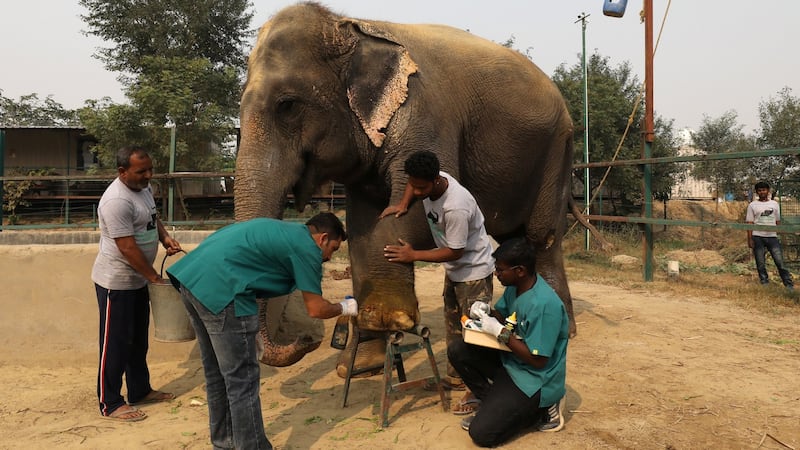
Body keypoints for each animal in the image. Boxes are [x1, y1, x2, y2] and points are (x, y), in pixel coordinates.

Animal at [235, 3, 576, 366]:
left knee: (542, 237)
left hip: (557, 151)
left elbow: (410, 215)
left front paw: (388, 318)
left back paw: (562, 331)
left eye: (287, 105)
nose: (307, 340)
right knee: (512, 237)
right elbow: (362, 227)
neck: (351, 28)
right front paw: (362, 360)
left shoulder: (424, 113)